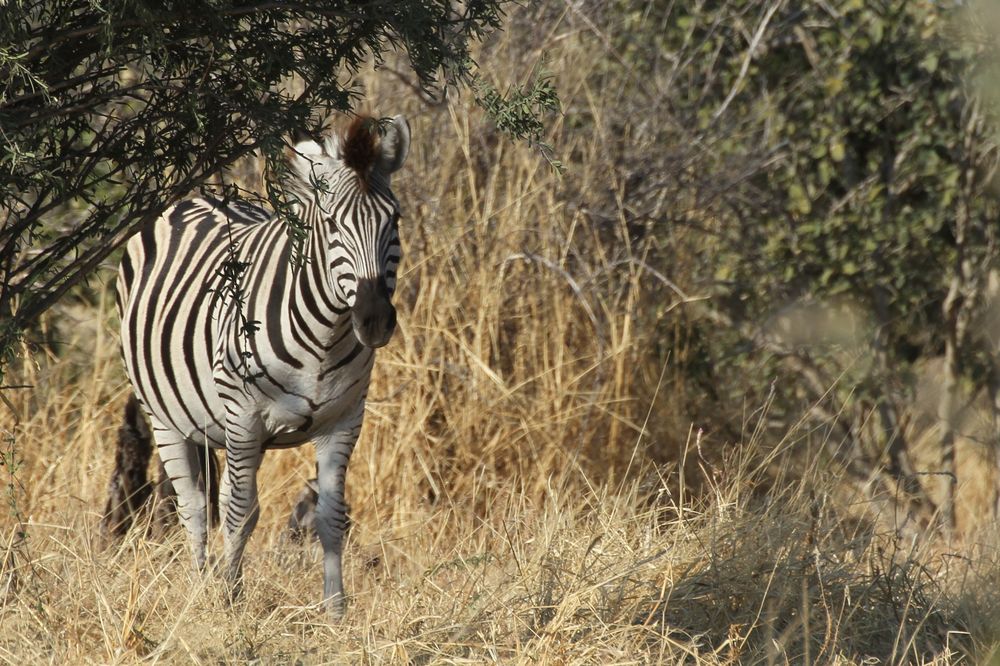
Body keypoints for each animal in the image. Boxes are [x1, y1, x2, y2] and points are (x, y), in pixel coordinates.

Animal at [117, 113, 410, 612]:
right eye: (331, 224)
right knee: (194, 507)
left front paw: (336, 611)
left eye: (395, 219)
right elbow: (239, 513)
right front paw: (228, 602)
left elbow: (331, 517)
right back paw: (199, 586)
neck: (325, 339)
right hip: (164, 417)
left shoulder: (345, 420)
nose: (373, 321)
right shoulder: (244, 415)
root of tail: (196, 197)